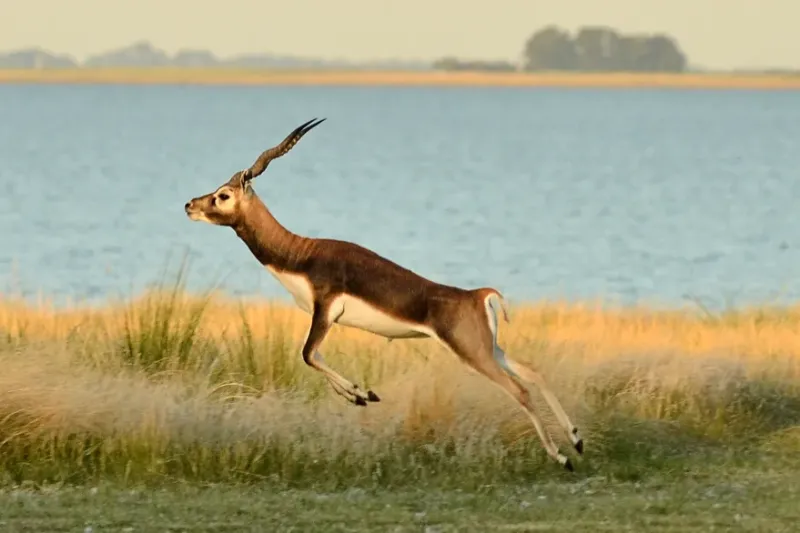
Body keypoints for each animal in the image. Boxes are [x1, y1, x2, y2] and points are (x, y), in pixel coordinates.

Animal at [184, 117, 584, 470]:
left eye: (223, 195)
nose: (189, 205)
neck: (301, 253)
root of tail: (477, 294)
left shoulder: (324, 310)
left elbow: (307, 354)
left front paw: (362, 393)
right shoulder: (324, 317)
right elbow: (315, 357)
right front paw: (362, 394)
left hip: (473, 354)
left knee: (520, 390)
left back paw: (562, 458)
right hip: (490, 349)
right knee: (533, 372)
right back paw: (576, 440)